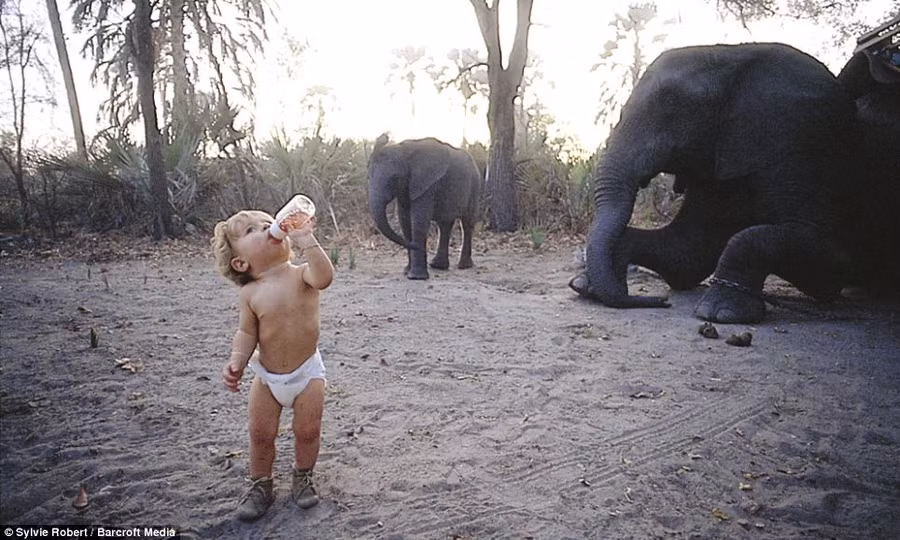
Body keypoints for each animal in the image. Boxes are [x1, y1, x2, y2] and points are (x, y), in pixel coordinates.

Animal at [368, 134, 482, 280]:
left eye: (394, 178)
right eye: (369, 177)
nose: (385, 136)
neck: (404, 151)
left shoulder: (427, 183)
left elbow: (419, 222)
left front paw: (416, 277)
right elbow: (405, 222)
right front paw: (407, 271)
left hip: (475, 185)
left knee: (467, 223)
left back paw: (463, 266)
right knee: (444, 224)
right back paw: (438, 266)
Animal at [569, 35, 900, 323]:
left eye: (671, 107)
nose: (660, 301)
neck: (732, 58)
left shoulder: (798, 145)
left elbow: (829, 262)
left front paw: (721, 314)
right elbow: (686, 251)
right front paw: (586, 286)